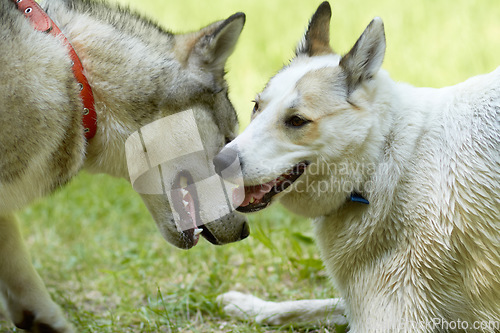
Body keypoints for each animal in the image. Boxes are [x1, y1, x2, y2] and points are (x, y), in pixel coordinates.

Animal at [216, 1, 500, 330]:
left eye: (297, 121)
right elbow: (303, 307)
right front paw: (250, 306)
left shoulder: (387, 318)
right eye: (256, 106)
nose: (217, 163)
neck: (381, 161)